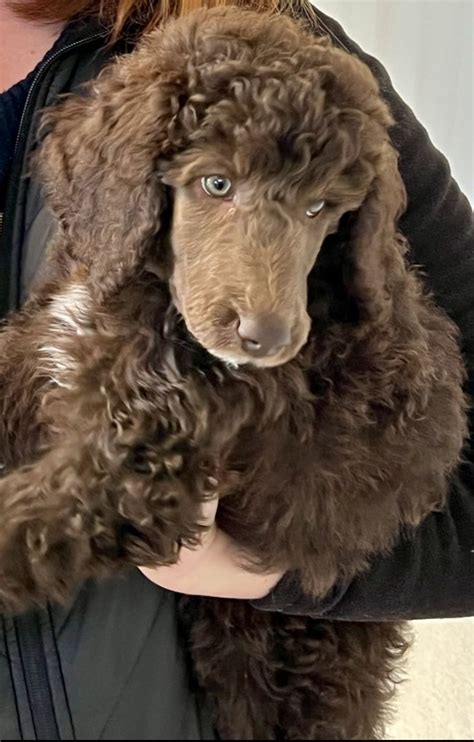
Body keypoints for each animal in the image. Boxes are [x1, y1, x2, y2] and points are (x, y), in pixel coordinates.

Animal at [0, 7, 468, 742]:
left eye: (320, 209)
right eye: (216, 184)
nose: (267, 339)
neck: (147, 297)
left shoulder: (148, 459)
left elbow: (33, 525)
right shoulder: (42, 354)